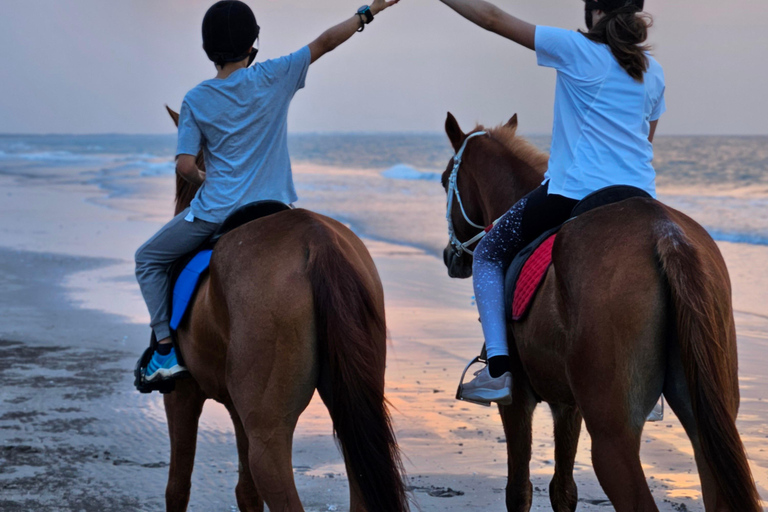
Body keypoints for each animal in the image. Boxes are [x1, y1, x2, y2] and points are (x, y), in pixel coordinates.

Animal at [160, 106, 412, 510]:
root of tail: (317, 240)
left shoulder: (182, 394)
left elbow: (178, 486)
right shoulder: (236, 410)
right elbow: (245, 492)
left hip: (269, 434)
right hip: (351, 405)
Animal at [440, 113, 760, 512]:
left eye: (444, 179)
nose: (449, 257)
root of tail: (665, 234)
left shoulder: (517, 403)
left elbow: (519, 491)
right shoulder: (568, 404)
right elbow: (563, 491)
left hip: (612, 438)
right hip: (706, 421)